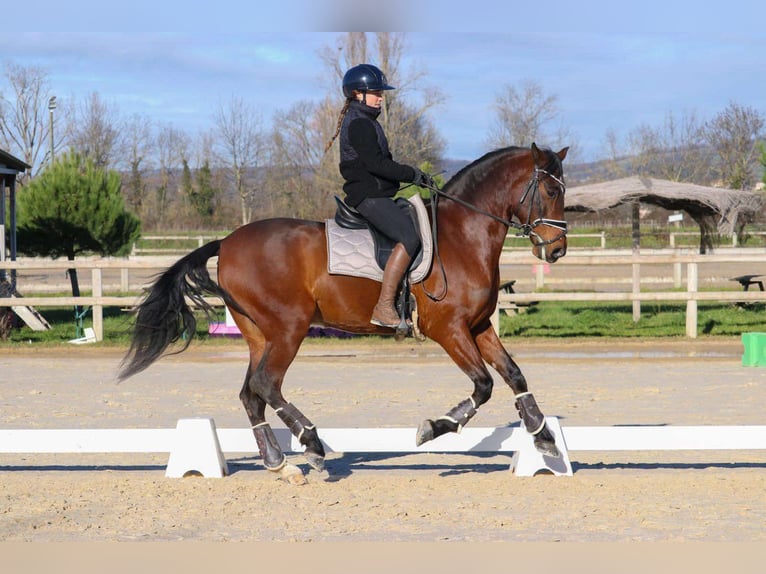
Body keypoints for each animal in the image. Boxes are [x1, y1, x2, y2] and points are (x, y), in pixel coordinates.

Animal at [118, 142, 568, 484]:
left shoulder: (477, 326)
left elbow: (513, 375)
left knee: (251, 394)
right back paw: (312, 444)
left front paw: (543, 435)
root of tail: (226, 242)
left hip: (260, 334)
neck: (463, 236)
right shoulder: (449, 329)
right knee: (266, 384)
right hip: (289, 328)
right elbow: (483, 385)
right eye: (549, 190)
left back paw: (280, 465)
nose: (558, 250)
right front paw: (433, 428)